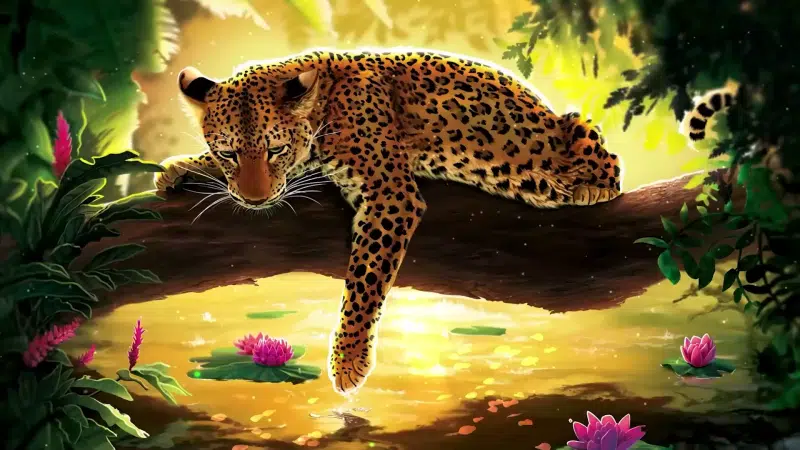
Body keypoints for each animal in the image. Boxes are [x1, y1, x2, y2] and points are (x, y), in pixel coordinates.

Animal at [155, 47, 624, 396]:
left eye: (276, 150)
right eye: (229, 153)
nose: (255, 199)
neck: (325, 107)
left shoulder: (390, 194)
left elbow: (364, 280)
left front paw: (348, 359)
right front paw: (181, 167)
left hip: (573, 136)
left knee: (608, 161)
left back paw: (590, 187)